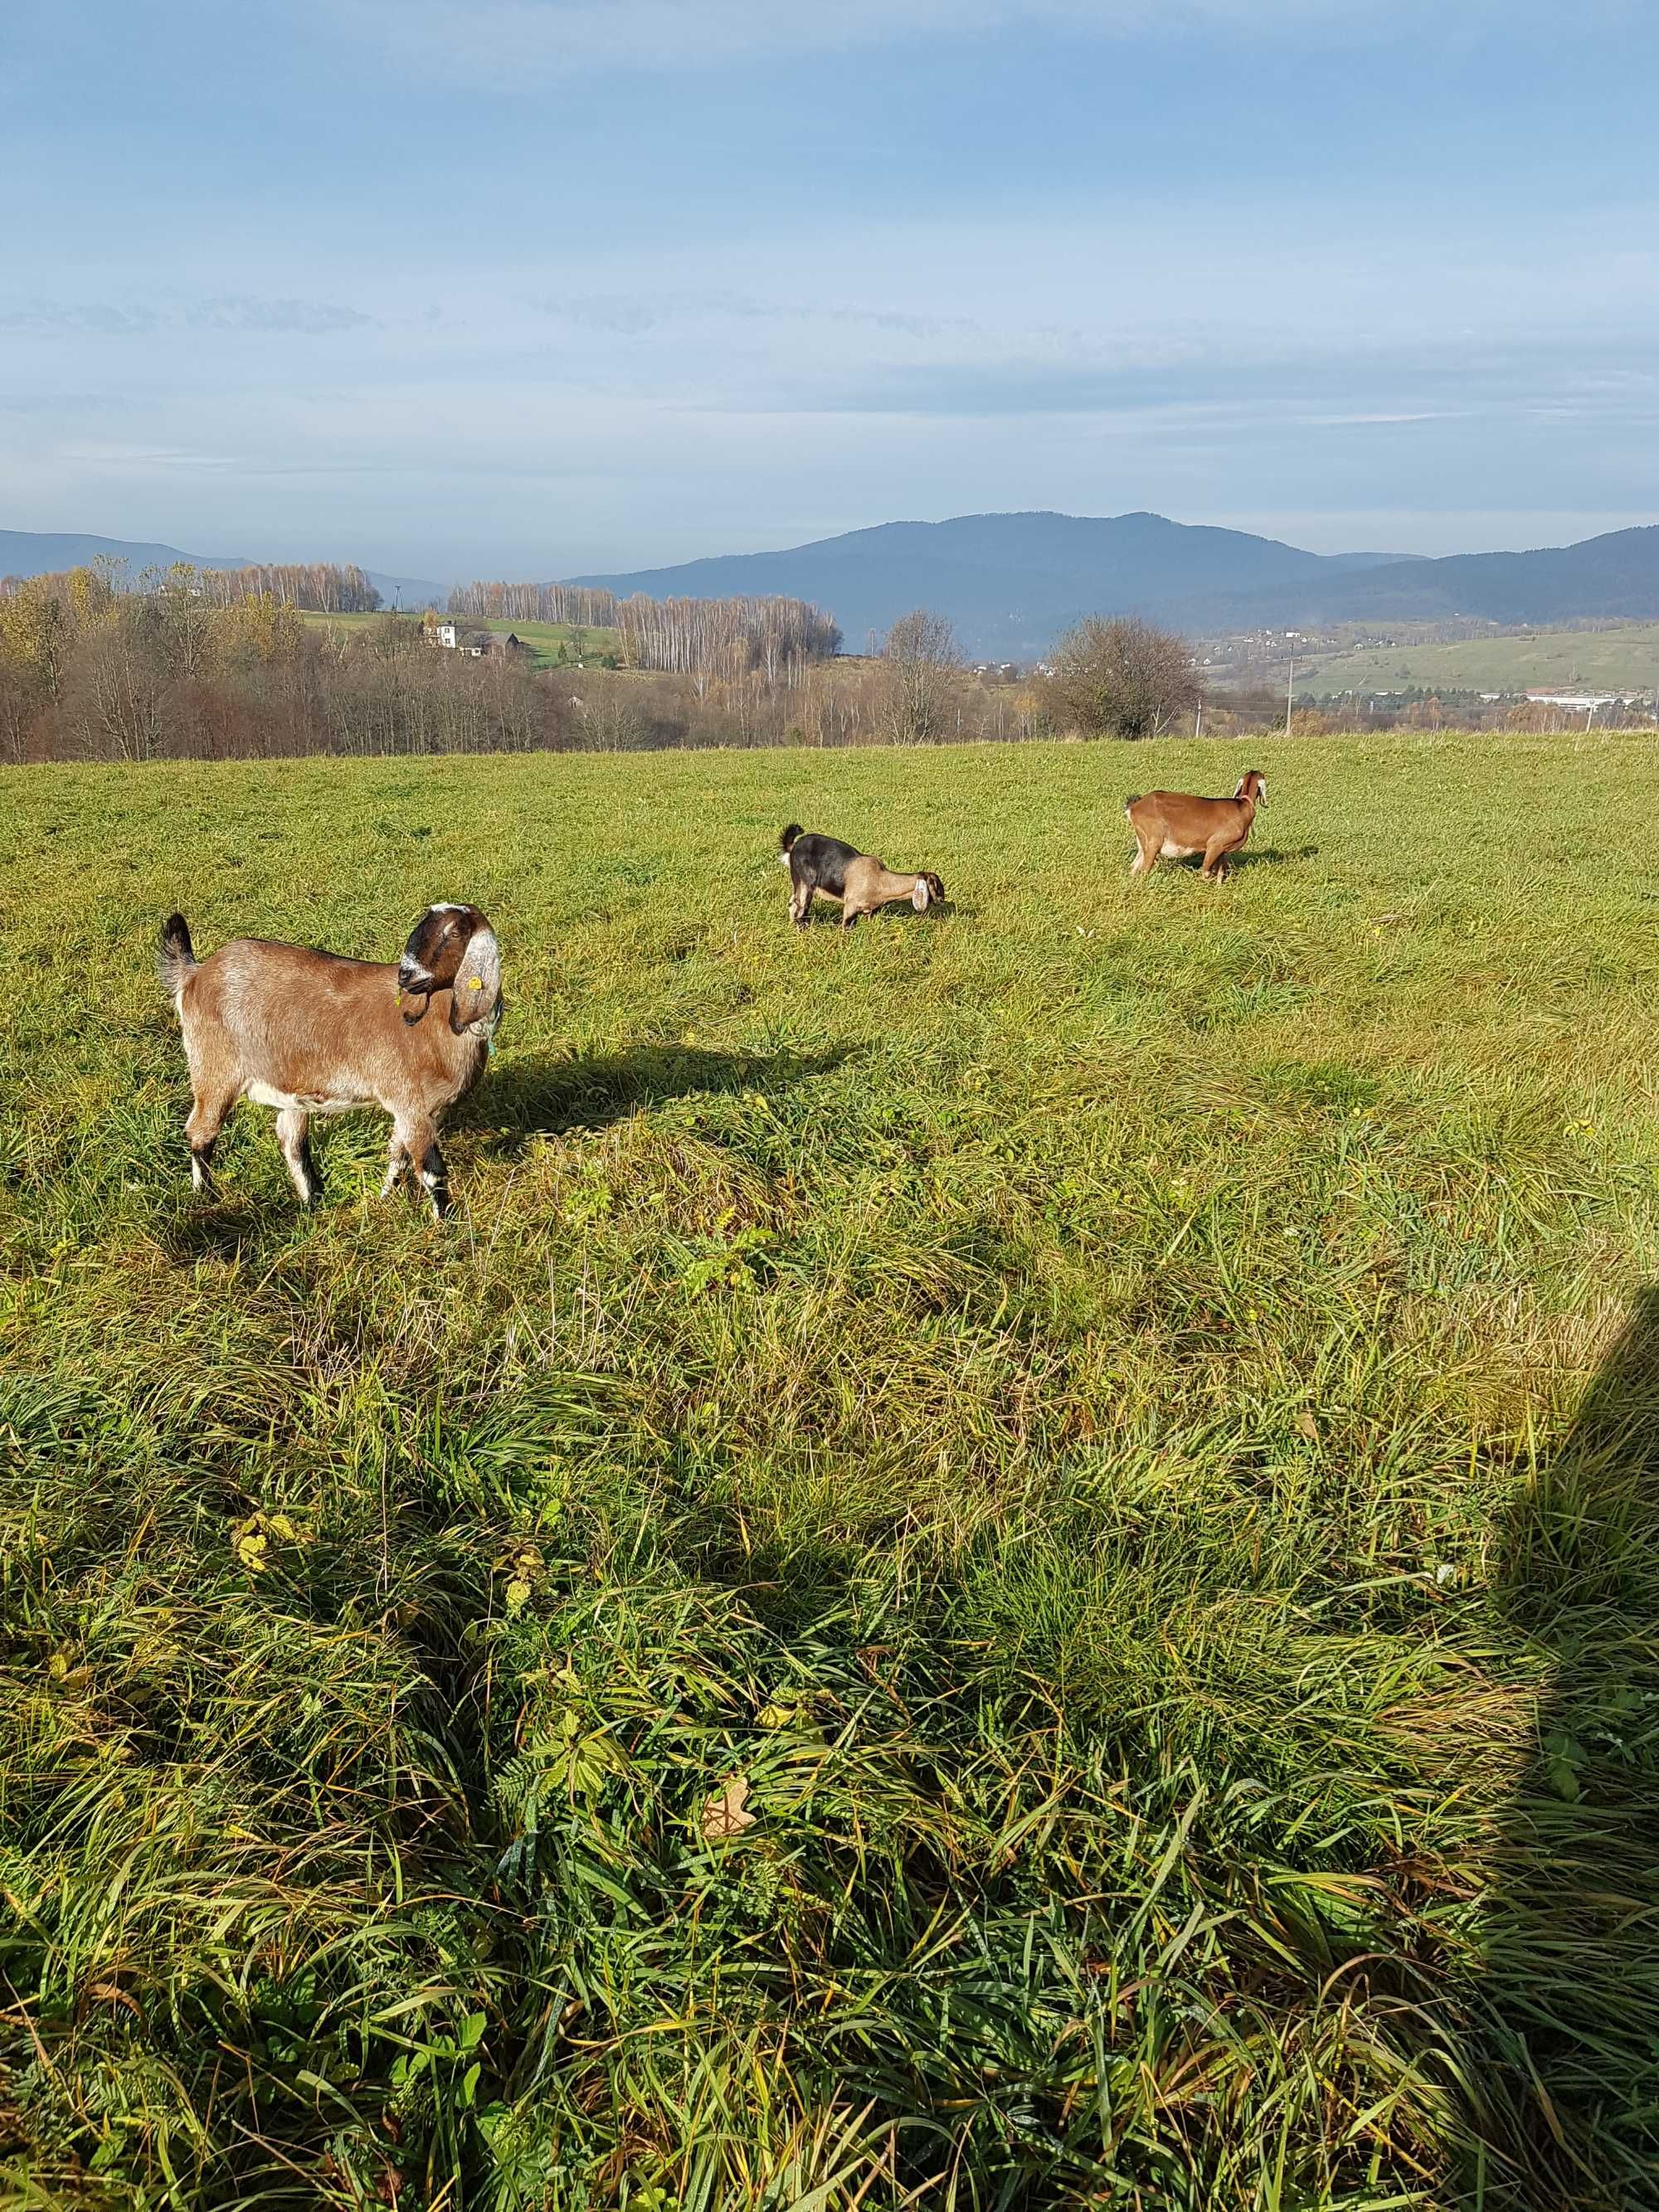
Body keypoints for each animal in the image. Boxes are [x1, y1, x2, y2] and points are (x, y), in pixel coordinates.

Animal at [778, 831, 946, 933]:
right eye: (937, 886)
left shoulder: (870, 911)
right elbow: (845, 927)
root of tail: (793, 847)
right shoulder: (850, 907)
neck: (881, 881)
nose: (942, 900)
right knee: (799, 908)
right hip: (804, 884)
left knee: (793, 904)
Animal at [1132, 774, 1274, 884]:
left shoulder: (1222, 849)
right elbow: (1206, 872)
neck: (1242, 807)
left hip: (1143, 840)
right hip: (1154, 840)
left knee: (1133, 867)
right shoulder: (1214, 844)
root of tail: (1134, 807)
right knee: (1144, 870)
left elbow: (1220, 872)